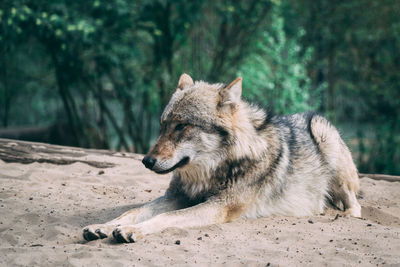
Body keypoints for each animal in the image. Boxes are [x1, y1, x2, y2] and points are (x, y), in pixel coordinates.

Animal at [82, 74, 362, 244]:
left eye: (182, 126)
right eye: (163, 125)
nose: (146, 161)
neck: (211, 170)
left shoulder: (218, 206)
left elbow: (165, 218)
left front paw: (133, 231)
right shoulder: (177, 197)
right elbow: (133, 211)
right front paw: (103, 226)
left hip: (323, 132)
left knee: (355, 206)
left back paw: (343, 215)